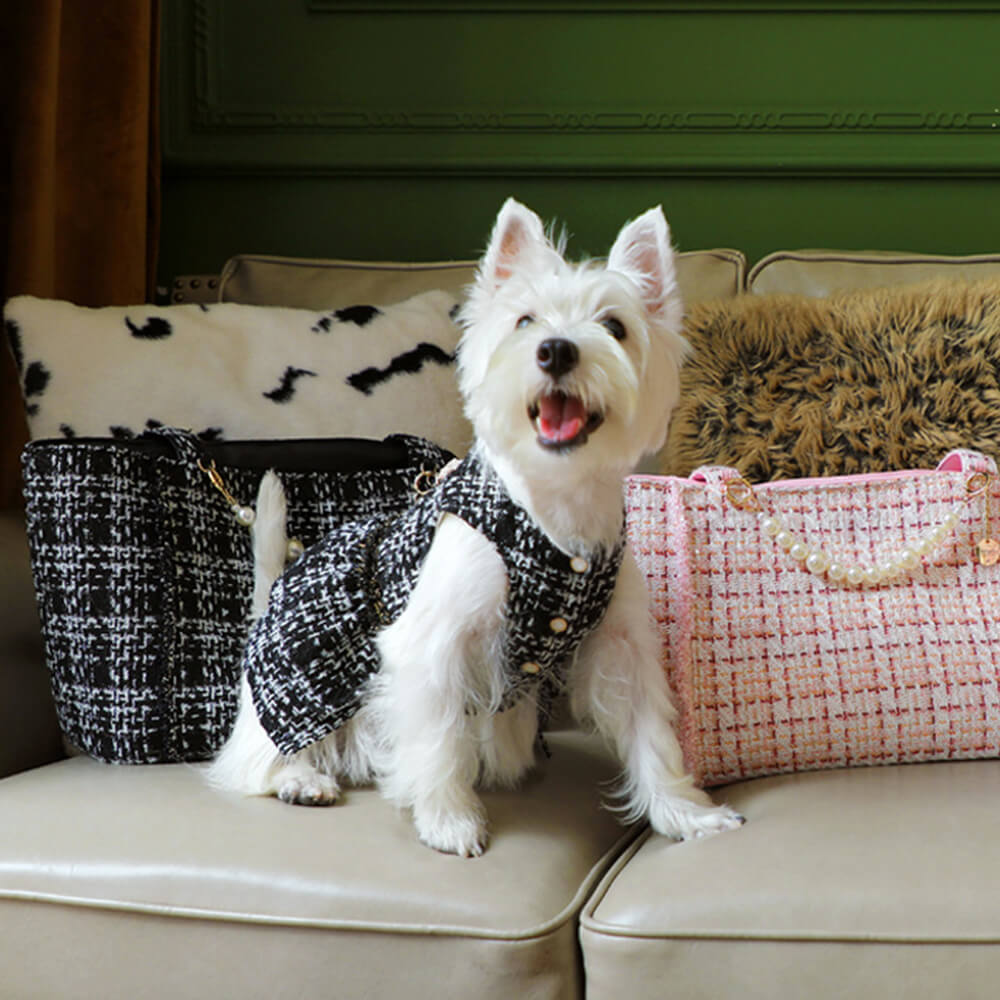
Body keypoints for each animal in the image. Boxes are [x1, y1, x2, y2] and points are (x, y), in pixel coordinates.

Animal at [209, 199, 744, 856]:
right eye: (524, 320)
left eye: (615, 326)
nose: (556, 350)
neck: (551, 513)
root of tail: (270, 599)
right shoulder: (431, 645)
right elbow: (436, 737)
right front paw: (449, 822)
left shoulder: (620, 648)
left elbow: (652, 733)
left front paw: (686, 814)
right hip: (301, 685)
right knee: (257, 753)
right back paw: (303, 779)